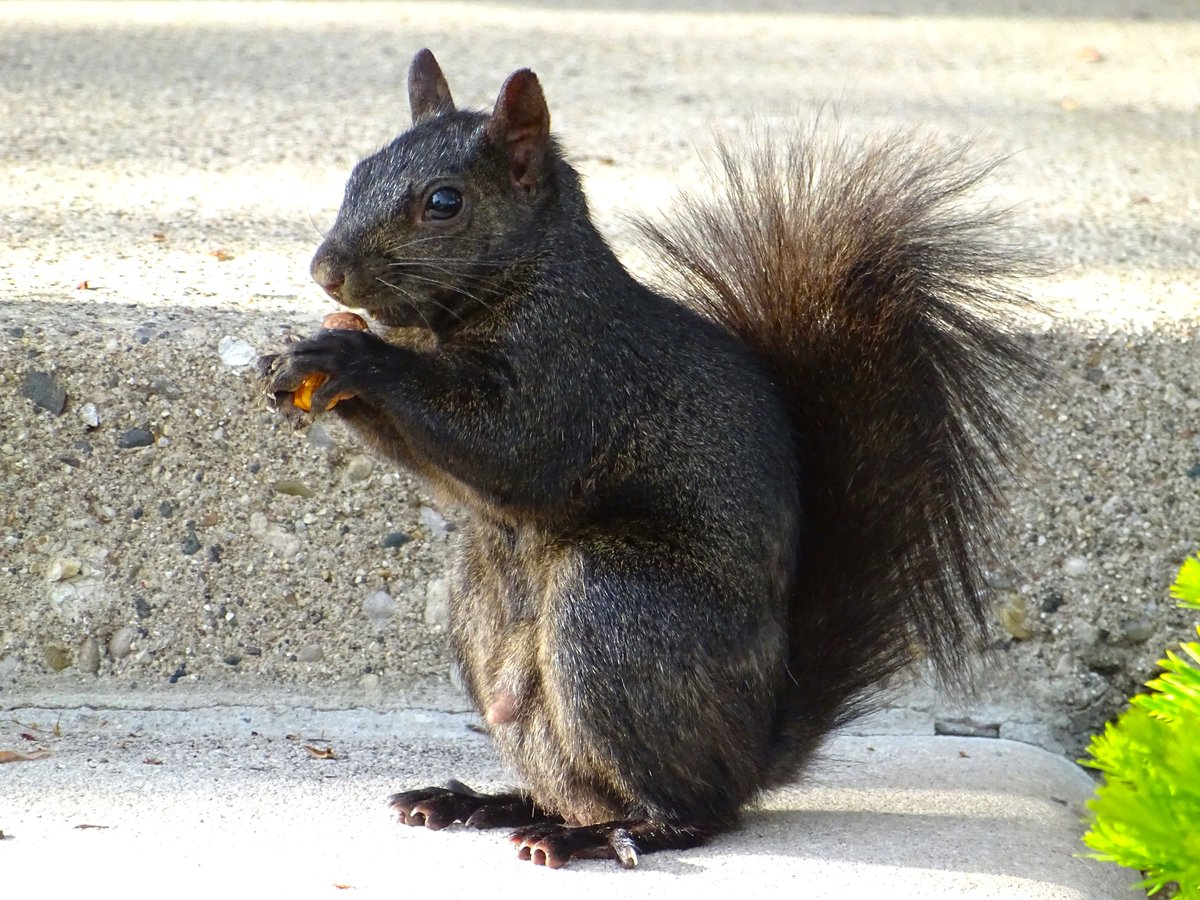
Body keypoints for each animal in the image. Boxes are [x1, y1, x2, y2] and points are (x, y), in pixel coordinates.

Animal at [260, 49, 1039, 869]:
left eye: (444, 202)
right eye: (358, 171)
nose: (326, 273)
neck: (506, 290)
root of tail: (754, 754)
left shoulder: (576, 377)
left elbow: (509, 446)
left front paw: (352, 356)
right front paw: (297, 362)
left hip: (616, 607)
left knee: (688, 809)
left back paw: (598, 835)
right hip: (483, 612)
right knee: (577, 784)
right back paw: (482, 802)